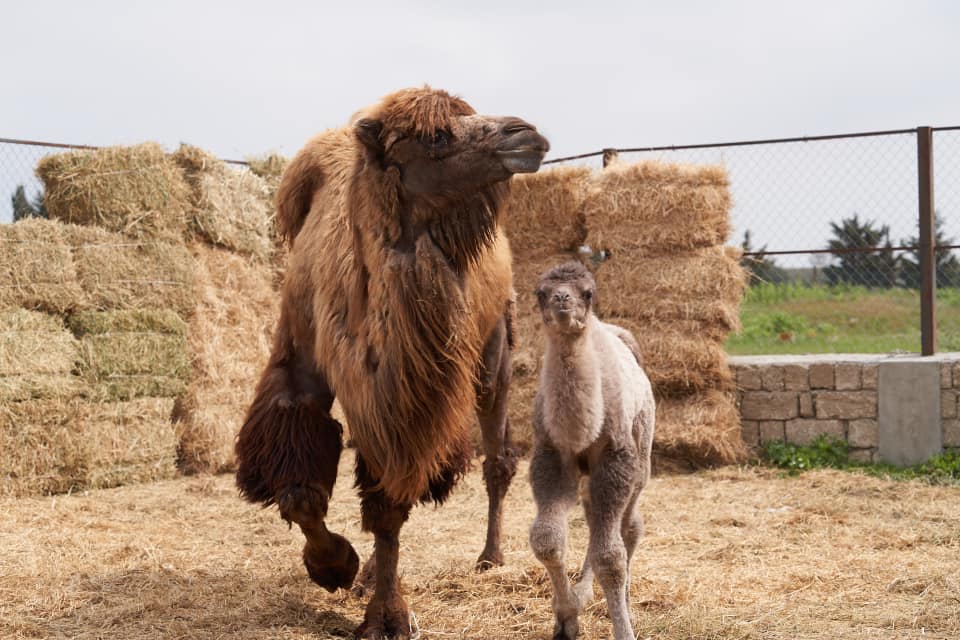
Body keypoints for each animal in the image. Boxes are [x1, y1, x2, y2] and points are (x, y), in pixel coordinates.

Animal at [233, 87, 548, 636]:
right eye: (436, 137)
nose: (525, 134)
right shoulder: (305, 370)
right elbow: (301, 492)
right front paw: (335, 567)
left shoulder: (412, 399)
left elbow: (388, 508)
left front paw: (387, 615)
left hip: (492, 354)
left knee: (498, 458)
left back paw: (490, 557)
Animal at [528, 262, 656, 640]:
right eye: (540, 292)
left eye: (587, 292)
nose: (562, 299)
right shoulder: (550, 456)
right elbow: (547, 539)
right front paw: (565, 618)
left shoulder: (616, 459)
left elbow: (610, 557)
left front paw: (624, 631)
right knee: (593, 519)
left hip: (640, 461)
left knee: (630, 526)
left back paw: (626, 604)